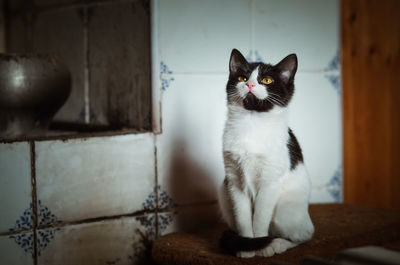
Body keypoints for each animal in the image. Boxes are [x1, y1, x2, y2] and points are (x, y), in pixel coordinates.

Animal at [217, 48, 314, 256]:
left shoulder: (270, 183)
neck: (252, 123)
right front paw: (247, 247)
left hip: (286, 210)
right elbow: (243, 218)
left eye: (267, 80)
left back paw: (278, 244)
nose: (250, 84)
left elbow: (260, 218)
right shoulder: (234, 181)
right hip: (223, 196)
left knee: (303, 236)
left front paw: (261, 245)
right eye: (242, 77)